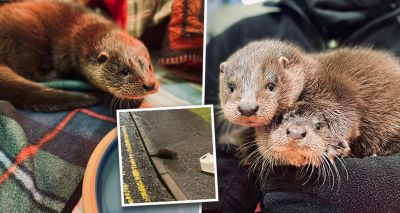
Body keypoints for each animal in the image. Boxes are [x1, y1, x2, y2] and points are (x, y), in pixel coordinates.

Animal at [0, 1, 159, 111]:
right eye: (124, 71)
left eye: (150, 66)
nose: (150, 85)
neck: (86, 30)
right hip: (24, 40)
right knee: (29, 71)